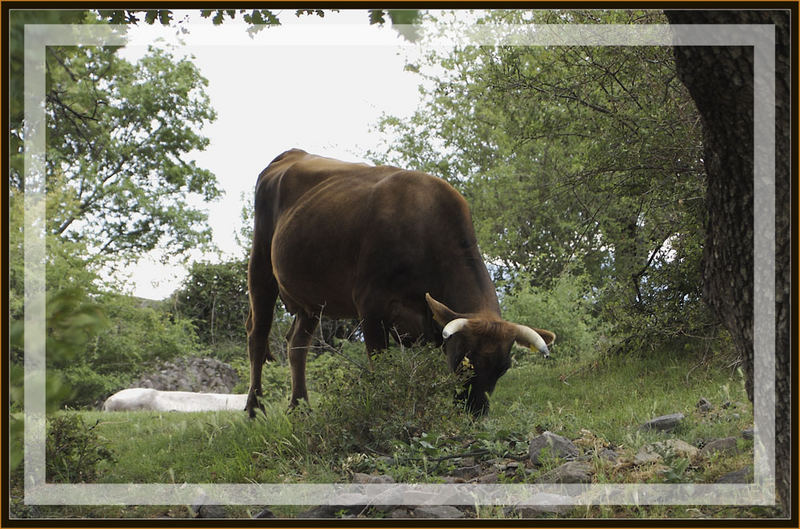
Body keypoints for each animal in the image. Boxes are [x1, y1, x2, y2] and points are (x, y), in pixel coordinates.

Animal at [245, 150, 556, 416]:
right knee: (257, 335)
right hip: (260, 265)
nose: (475, 412)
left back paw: (299, 408)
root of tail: (292, 154)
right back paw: (254, 408)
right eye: (462, 360)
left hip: (311, 298)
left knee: (297, 344)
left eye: (503, 367)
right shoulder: (371, 307)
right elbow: (381, 367)